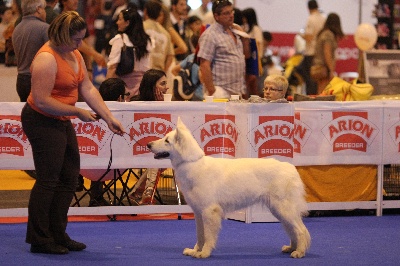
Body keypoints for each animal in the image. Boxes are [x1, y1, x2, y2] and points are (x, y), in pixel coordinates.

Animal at [147, 118, 310, 258]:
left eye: (167, 141)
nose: (148, 145)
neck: (192, 163)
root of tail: (291, 168)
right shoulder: (198, 213)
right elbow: (200, 235)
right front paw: (195, 251)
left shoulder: (209, 211)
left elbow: (208, 236)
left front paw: (204, 253)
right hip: (279, 211)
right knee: (293, 230)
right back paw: (292, 248)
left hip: (283, 209)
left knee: (301, 230)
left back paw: (299, 252)